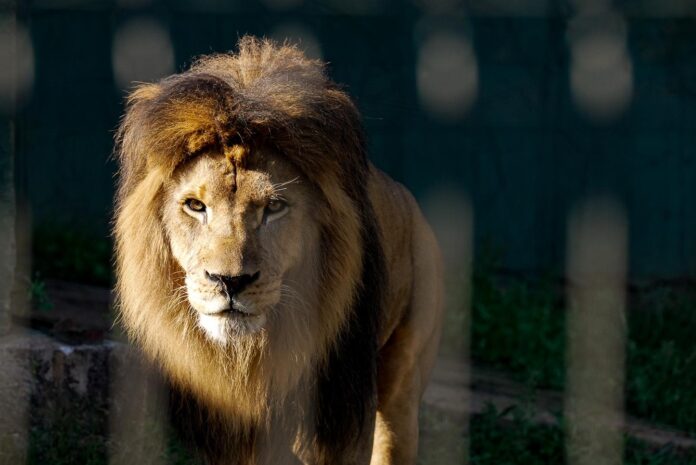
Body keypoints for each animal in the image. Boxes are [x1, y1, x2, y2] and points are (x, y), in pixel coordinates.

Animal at [113, 36, 444, 465]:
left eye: (273, 207)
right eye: (195, 206)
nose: (229, 282)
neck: (253, 357)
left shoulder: (334, 420)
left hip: (402, 383)